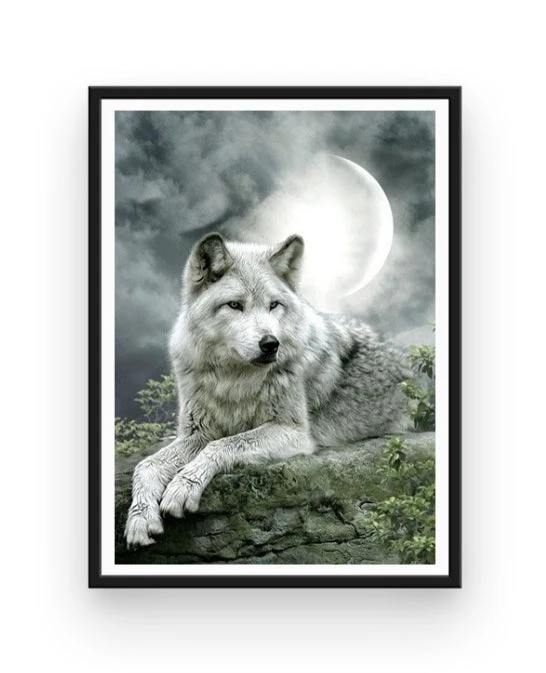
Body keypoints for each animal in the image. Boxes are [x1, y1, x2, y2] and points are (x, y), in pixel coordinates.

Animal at [125, 233, 411, 549]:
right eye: (235, 305)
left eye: (274, 305)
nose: (271, 344)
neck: (234, 380)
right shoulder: (197, 432)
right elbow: (146, 465)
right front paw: (140, 519)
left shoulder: (292, 431)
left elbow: (224, 445)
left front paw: (182, 487)